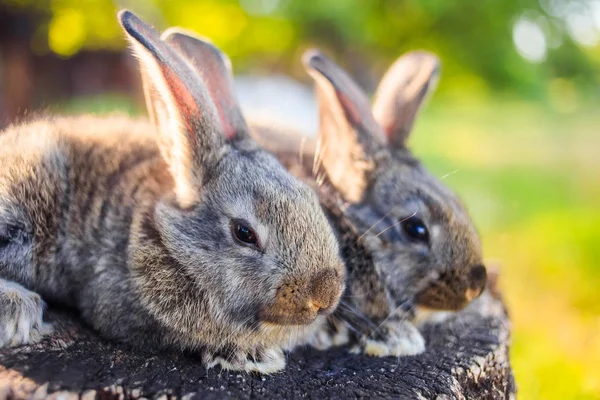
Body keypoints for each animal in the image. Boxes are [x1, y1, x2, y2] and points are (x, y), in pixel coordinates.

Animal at [0, 11, 344, 376]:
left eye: (311, 199)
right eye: (243, 233)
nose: (325, 295)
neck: (170, 238)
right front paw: (250, 357)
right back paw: (17, 309)